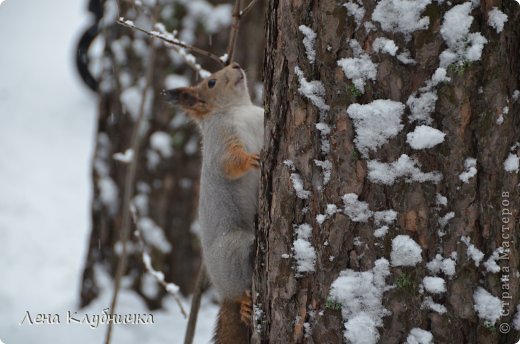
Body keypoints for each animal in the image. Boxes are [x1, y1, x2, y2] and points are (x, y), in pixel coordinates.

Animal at [165, 62, 264, 344]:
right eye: (211, 82)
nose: (237, 65)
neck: (240, 108)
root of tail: (223, 292)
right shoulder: (220, 142)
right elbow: (230, 162)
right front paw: (251, 159)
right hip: (233, 250)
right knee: (239, 290)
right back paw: (243, 303)